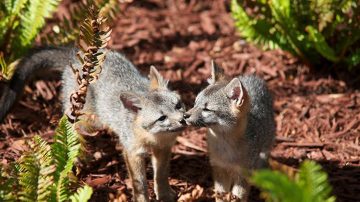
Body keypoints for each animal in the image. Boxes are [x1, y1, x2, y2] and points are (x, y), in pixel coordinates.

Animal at [0, 46, 186, 201]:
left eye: (178, 105)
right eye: (162, 118)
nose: (183, 120)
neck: (154, 138)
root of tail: (77, 56)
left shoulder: (163, 149)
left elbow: (161, 175)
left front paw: (164, 194)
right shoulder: (133, 152)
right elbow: (139, 183)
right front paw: (142, 199)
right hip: (89, 122)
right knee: (71, 128)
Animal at [184, 61, 274, 202]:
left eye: (207, 109)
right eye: (195, 103)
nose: (184, 115)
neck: (225, 146)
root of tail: (252, 76)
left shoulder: (243, 173)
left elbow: (239, 196)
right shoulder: (219, 168)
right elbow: (220, 195)